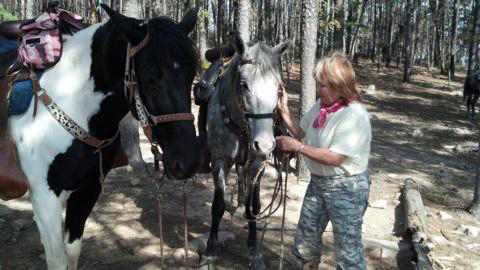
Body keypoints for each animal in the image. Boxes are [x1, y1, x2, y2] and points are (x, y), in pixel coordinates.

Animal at [2, 4, 200, 270]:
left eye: (191, 76)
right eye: (150, 79)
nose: (187, 162)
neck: (71, 99)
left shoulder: (88, 189)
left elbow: (72, 252)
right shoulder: (45, 198)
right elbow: (57, 259)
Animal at [200, 33, 288, 270]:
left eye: (278, 87)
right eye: (244, 85)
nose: (265, 144)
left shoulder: (257, 164)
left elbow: (254, 207)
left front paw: (254, 252)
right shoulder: (219, 162)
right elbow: (218, 206)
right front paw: (209, 251)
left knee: (242, 175)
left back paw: (240, 204)